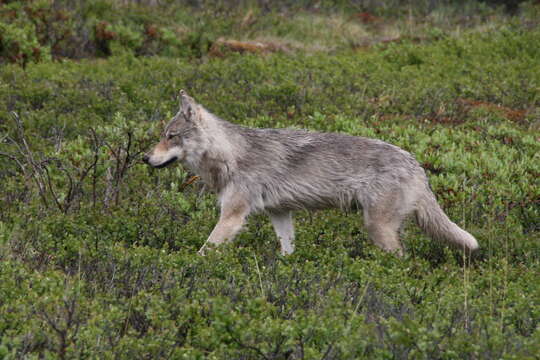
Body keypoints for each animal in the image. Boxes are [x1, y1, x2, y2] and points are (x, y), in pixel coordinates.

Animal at [141, 91, 478, 258]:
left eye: (170, 136)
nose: (144, 158)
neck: (230, 155)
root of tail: (416, 164)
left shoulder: (232, 217)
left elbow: (203, 251)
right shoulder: (279, 214)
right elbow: (287, 250)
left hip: (377, 228)